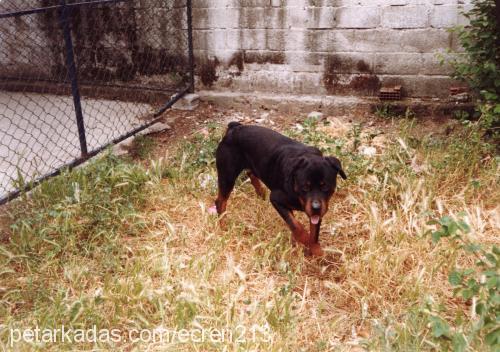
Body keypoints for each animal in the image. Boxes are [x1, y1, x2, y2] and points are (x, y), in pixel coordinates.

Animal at [212, 122, 348, 258]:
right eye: (305, 187)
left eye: (325, 187)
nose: (316, 207)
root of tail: (235, 127)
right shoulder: (276, 198)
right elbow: (296, 226)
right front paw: (305, 241)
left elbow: (313, 231)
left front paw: (315, 250)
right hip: (227, 175)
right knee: (221, 202)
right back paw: (223, 227)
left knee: (251, 172)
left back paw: (261, 192)